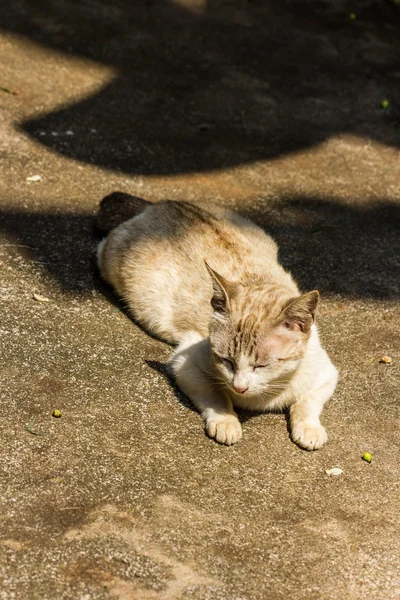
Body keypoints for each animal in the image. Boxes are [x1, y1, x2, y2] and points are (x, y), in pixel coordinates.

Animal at [97, 195, 338, 448]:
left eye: (261, 366)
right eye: (227, 361)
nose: (240, 387)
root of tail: (162, 203)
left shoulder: (327, 375)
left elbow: (307, 404)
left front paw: (309, 429)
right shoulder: (185, 365)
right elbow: (217, 398)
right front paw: (226, 422)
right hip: (109, 263)